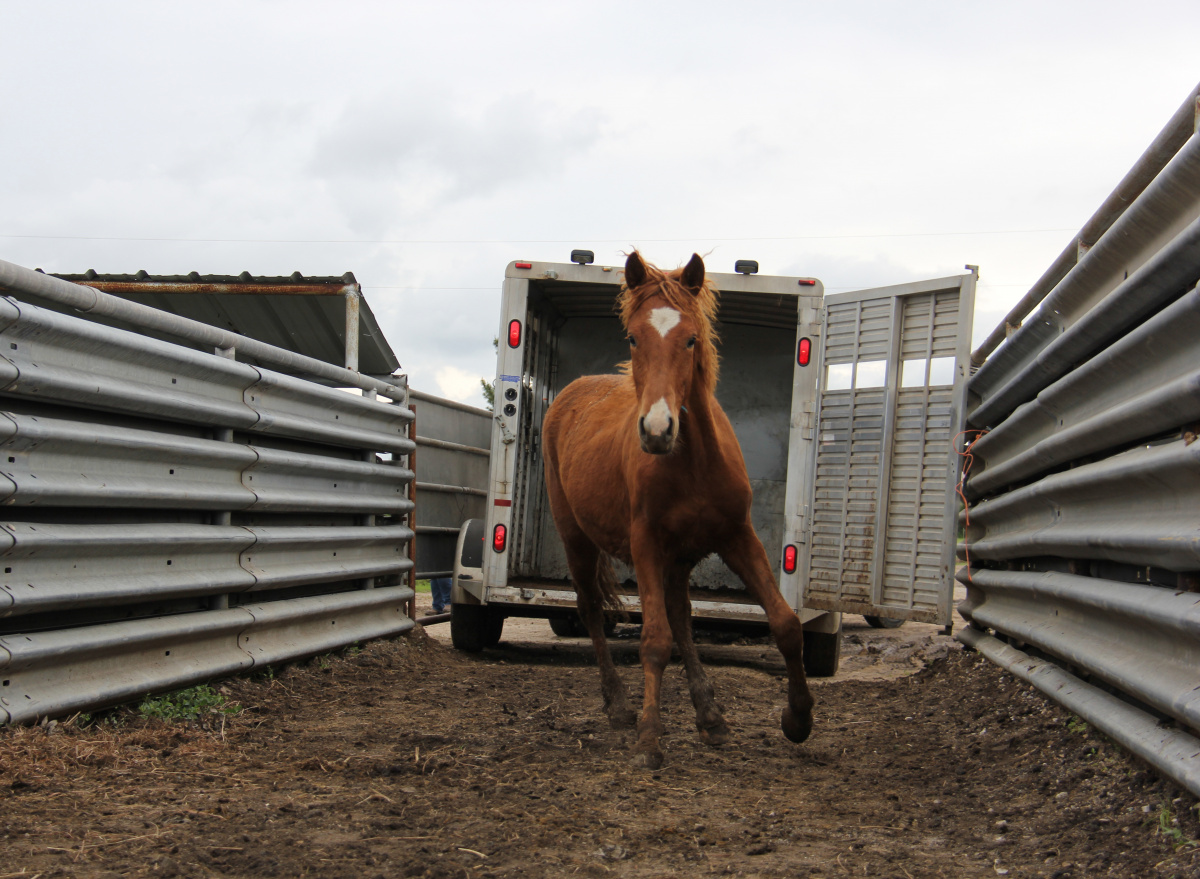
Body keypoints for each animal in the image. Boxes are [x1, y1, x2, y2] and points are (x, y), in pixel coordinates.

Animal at [544, 250, 816, 763]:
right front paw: (649, 735)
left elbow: (786, 624)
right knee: (591, 609)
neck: (693, 463)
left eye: (690, 339)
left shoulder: (738, 538)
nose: (656, 430)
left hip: (678, 559)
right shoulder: (647, 544)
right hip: (576, 540)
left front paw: (798, 718)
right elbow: (654, 639)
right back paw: (619, 706)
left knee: (683, 619)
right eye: (633, 338)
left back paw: (709, 716)